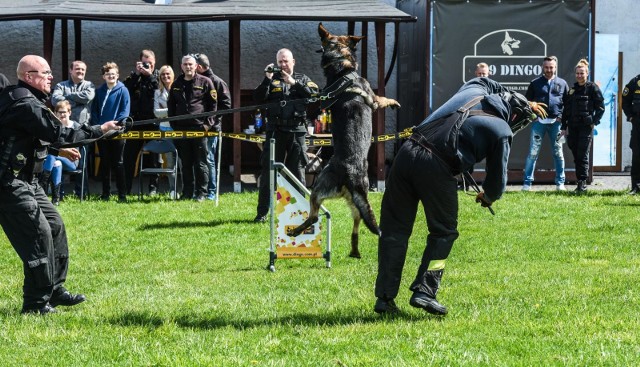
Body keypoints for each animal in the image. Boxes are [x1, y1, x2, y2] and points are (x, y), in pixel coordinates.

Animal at [288, 23, 400, 258]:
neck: (344, 69)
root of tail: (351, 177)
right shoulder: (374, 100)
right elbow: (383, 99)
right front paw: (395, 103)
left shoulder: (372, 99)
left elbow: (384, 99)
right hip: (338, 197)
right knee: (340, 220)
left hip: (331, 195)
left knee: (335, 220)